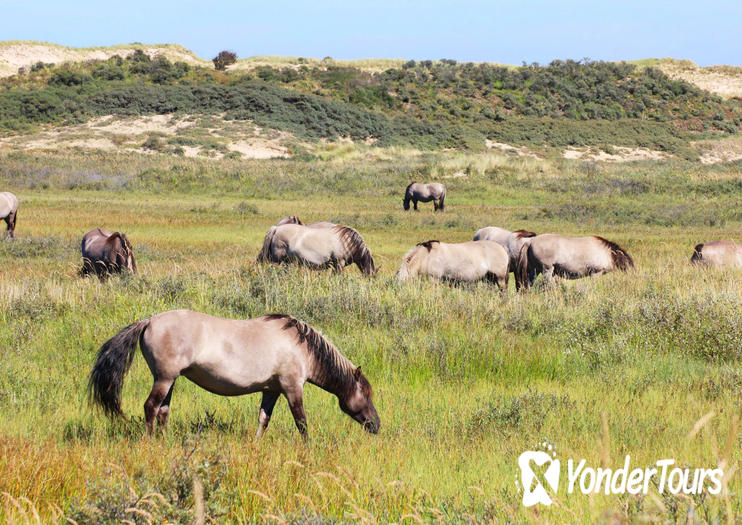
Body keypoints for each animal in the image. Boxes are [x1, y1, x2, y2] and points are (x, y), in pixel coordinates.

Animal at [88, 310, 384, 436]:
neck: (302, 348)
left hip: (169, 381)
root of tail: (149, 321)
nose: (376, 425)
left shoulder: (271, 391)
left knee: (162, 411)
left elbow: (264, 420)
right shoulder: (292, 388)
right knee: (150, 407)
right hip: (164, 378)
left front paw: (256, 444)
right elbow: (301, 422)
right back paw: (151, 442)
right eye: (367, 395)